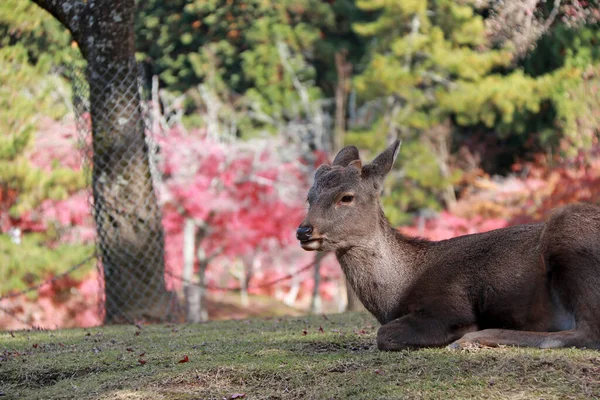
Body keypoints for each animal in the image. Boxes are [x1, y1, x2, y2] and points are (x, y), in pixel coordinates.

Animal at [298, 141, 600, 350]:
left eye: (346, 197)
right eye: (309, 197)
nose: (303, 230)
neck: (397, 293)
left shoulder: (451, 304)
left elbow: (384, 334)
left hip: (569, 234)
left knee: (588, 332)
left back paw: (472, 338)